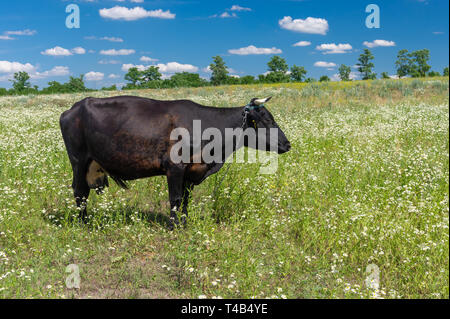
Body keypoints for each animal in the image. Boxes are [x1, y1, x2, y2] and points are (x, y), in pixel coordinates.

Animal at [59, 96, 290, 229]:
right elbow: (175, 198)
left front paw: (184, 224)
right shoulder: (174, 168)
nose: (287, 145)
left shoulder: (190, 171)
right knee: (79, 191)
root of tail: (74, 107)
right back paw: (83, 223)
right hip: (78, 160)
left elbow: (186, 200)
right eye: (267, 121)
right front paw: (173, 227)